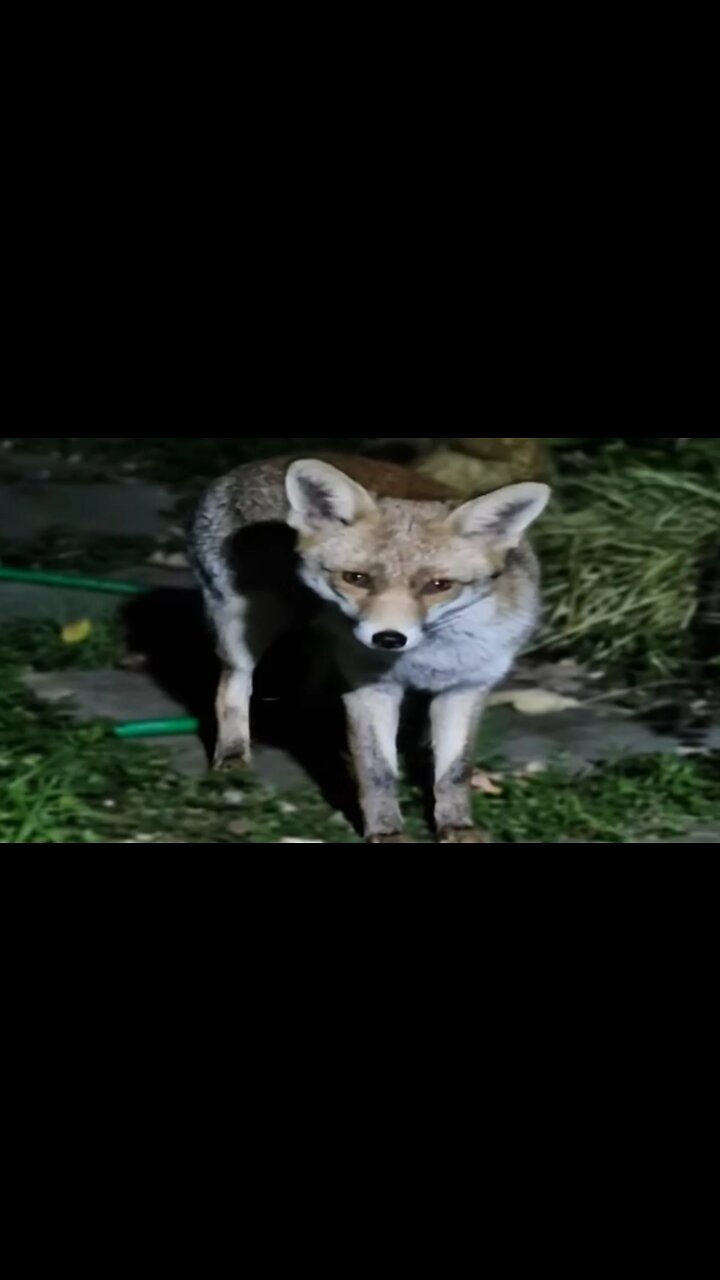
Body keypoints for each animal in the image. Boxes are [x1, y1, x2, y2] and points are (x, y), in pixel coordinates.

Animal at [190, 453, 551, 844]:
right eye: (356, 578)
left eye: (438, 585)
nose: (389, 638)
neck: (426, 659)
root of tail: (260, 462)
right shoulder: (370, 688)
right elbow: (378, 772)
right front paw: (386, 830)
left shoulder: (465, 687)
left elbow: (454, 773)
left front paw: (456, 825)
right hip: (246, 625)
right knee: (233, 686)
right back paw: (233, 754)